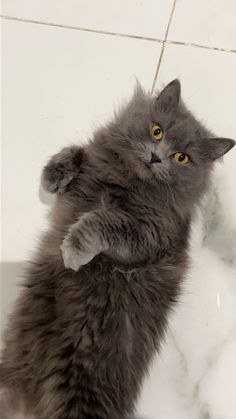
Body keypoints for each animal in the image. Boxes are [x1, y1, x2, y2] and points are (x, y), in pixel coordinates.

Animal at [0, 79, 234, 419]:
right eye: (156, 131)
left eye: (182, 158)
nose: (156, 157)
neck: (127, 179)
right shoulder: (88, 171)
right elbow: (75, 152)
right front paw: (54, 175)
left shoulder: (148, 236)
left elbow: (102, 220)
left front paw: (73, 251)